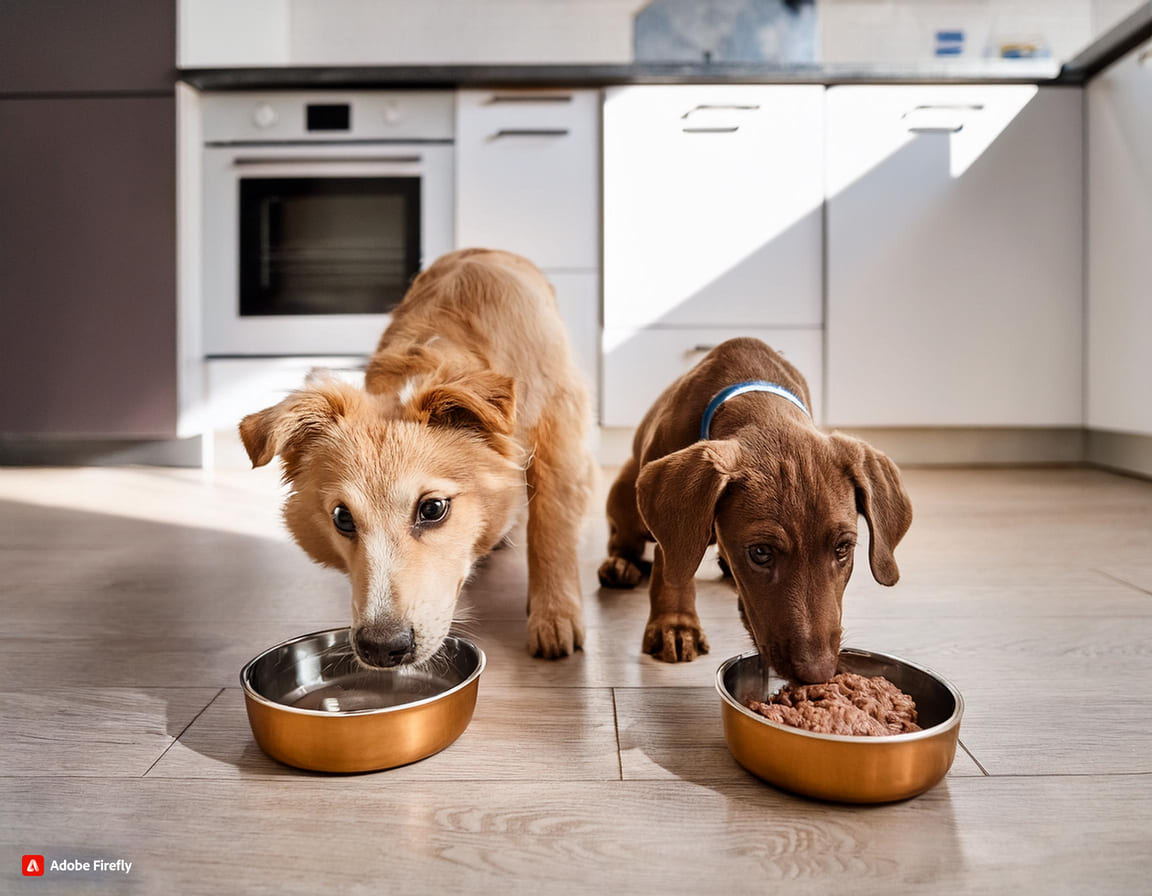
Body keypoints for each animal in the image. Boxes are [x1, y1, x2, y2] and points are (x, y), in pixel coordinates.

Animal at [237, 247, 589, 667]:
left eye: (433, 509)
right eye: (342, 518)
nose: (381, 648)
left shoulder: (559, 422)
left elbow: (551, 526)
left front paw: (554, 616)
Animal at [599, 338, 912, 681]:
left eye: (843, 548)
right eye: (760, 552)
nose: (817, 673)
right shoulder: (676, 528)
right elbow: (672, 563)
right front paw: (676, 624)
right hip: (626, 493)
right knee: (625, 540)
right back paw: (620, 566)